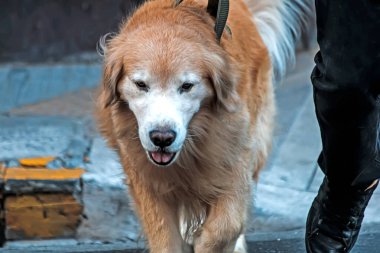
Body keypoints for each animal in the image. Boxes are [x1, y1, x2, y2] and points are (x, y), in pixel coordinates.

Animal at [96, 0, 310, 251]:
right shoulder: (145, 177)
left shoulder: (233, 158)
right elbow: (165, 237)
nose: (162, 138)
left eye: (187, 86)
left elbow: (227, 225)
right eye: (140, 84)